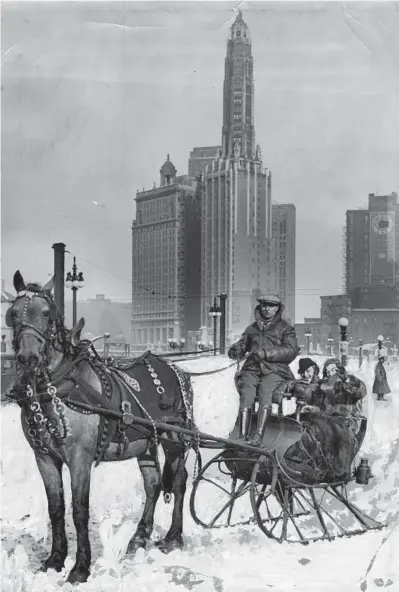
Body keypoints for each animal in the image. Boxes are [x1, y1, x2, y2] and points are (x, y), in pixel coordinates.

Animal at [4, 270, 195, 584]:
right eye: (13, 314)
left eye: (46, 312)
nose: (28, 358)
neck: (60, 384)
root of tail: (178, 370)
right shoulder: (44, 456)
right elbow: (56, 507)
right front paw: (55, 560)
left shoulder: (80, 457)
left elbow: (80, 510)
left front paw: (80, 567)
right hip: (145, 442)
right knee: (153, 483)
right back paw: (139, 537)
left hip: (174, 438)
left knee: (179, 482)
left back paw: (173, 537)